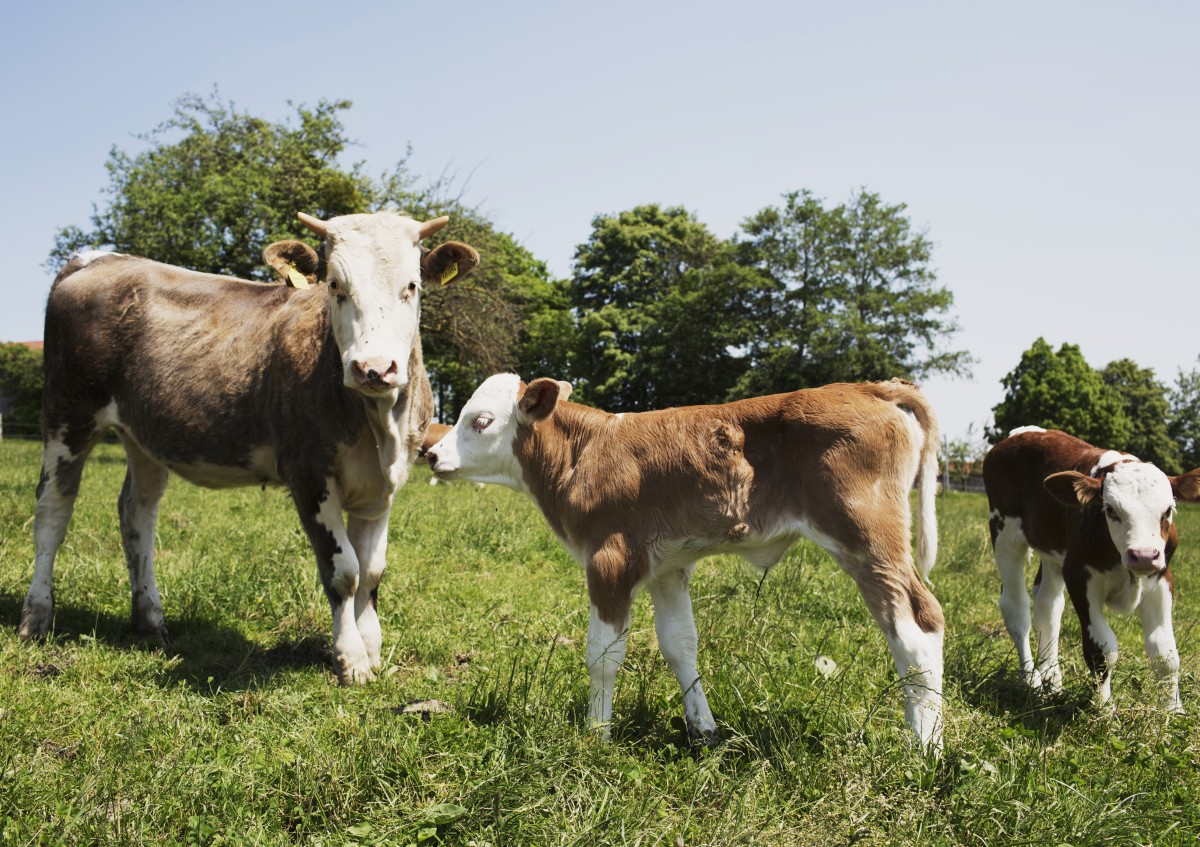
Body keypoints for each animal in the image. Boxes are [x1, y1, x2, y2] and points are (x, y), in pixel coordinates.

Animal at [17, 209, 477, 681]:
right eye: (334, 285)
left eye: (412, 286)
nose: (374, 368)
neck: (379, 424)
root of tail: (98, 259)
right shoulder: (309, 476)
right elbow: (344, 572)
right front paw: (350, 659)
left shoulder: (384, 486)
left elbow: (372, 572)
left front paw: (371, 650)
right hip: (67, 413)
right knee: (53, 509)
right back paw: (37, 617)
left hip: (142, 435)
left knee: (137, 514)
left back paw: (150, 622)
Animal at [424, 371, 945, 748]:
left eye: (481, 421)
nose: (430, 454)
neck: (583, 454)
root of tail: (868, 387)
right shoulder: (667, 567)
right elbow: (679, 644)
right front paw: (703, 731)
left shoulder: (610, 560)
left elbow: (603, 655)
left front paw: (596, 737)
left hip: (868, 537)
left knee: (918, 628)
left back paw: (923, 749)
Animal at [984, 424, 1200, 710]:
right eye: (1111, 510)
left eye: (1168, 510)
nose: (1143, 555)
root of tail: (1024, 432)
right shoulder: (1080, 576)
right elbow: (1102, 649)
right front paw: (1104, 709)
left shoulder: (1161, 577)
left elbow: (1165, 653)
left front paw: (1172, 711)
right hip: (1005, 535)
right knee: (1016, 607)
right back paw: (1030, 679)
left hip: (1053, 555)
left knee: (1047, 606)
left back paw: (1052, 681)